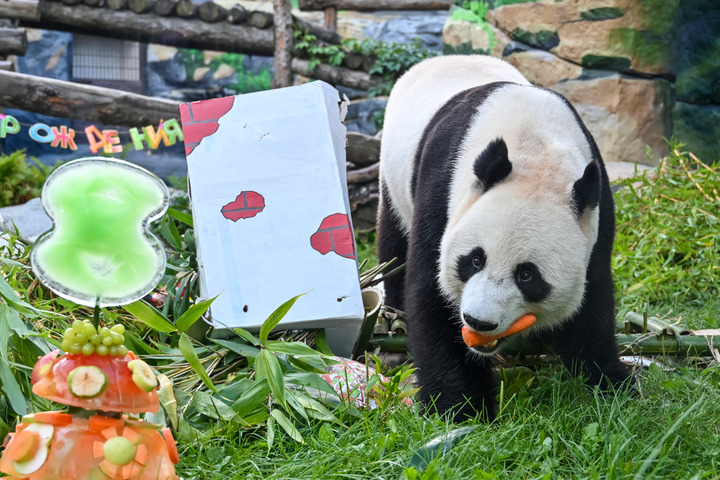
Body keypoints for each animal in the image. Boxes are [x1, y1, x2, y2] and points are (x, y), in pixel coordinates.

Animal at [380, 55, 632, 420]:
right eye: (474, 260)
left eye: (527, 275)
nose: (478, 322)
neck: (536, 153)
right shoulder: (443, 189)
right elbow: (431, 293)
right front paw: (460, 409)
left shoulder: (594, 214)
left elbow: (593, 300)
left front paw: (611, 384)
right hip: (394, 182)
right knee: (395, 247)